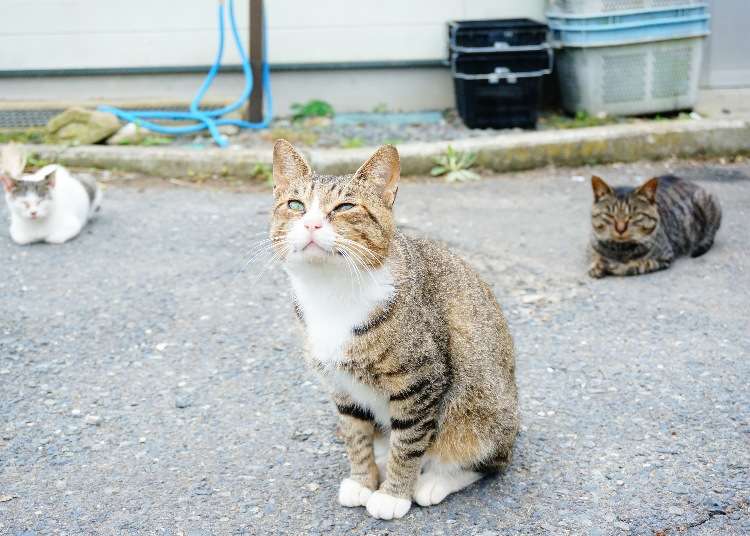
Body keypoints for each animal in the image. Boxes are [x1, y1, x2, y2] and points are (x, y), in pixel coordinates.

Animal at [592, 175, 724, 278]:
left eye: (634, 215)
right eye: (609, 215)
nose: (620, 229)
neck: (620, 249)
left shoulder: (663, 257)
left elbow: (634, 265)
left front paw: (614, 266)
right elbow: (595, 257)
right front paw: (597, 265)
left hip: (705, 199)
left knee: (710, 234)